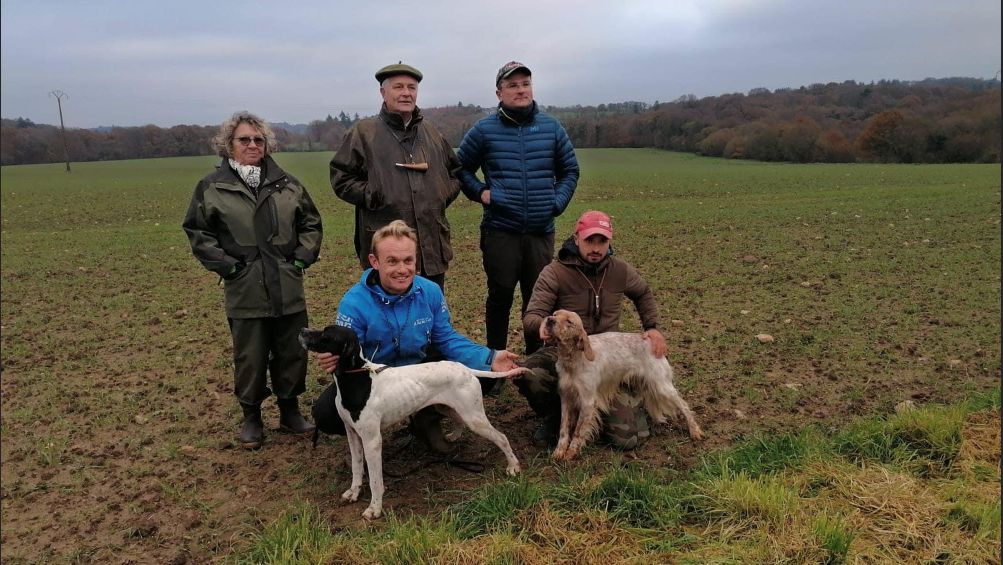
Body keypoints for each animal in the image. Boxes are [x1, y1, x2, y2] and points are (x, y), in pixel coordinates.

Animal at [296, 325, 525, 517]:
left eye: (326, 334)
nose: (303, 330)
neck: (357, 379)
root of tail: (466, 369)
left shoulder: (372, 441)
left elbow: (376, 480)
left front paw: (375, 508)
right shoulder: (353, 435)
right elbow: (356, 467)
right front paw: (353, 492)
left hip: (474, 417)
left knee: (502, 437)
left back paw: (513, 467)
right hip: (452, 408)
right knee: (459, 422)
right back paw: (453, 436)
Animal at [545, 311, 702, 461]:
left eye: (569, 321)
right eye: (555, 314)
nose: (549, 320)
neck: (573, 360)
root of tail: (650, 341)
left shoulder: (587, 401)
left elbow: (578, 431)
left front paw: (571, 452)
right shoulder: (566, 397)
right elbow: (563, 428)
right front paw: (559, 451)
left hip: (661, 386)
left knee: (684, 405)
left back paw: (695, 431)